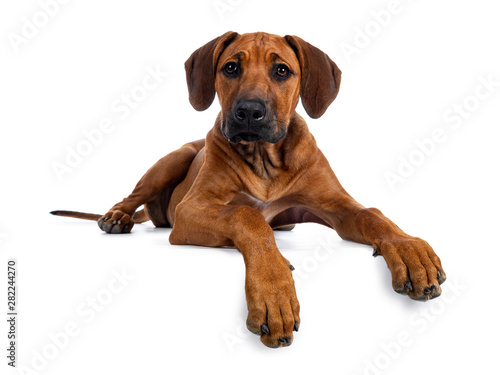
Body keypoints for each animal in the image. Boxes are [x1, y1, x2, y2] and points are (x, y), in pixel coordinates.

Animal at [52, 31, 448, 350]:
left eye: (282, 71)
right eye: (230, 68)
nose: (248, 112)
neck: (264, 159)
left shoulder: (335, 204)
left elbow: (372, 214)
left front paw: (410, 250)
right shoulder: (192, 209)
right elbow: (246, 216)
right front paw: (274, 291)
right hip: (174, 159)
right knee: (132, 197)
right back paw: (116, 217)